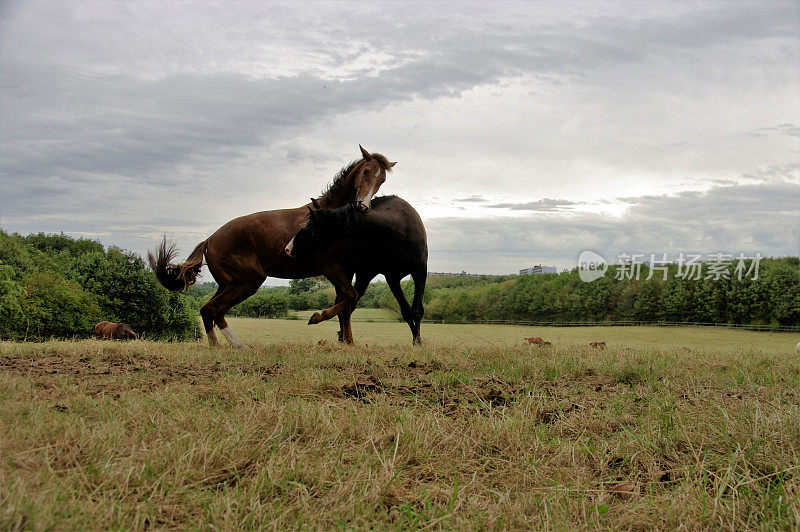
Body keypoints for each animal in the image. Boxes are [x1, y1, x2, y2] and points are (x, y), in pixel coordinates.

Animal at [149, 145, 394, 348]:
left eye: (382, 179)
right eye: (366, 171)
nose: (363, 205)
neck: (329, 219)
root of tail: (210, 239)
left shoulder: (345, 271)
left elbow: (347, 305)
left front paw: (348, 342)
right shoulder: (331, 269)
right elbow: (350, 298)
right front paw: (317, 317)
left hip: (227, 284)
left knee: (207, 309)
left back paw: (216, 344)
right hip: (247, 281)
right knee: (215, 309)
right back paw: (238, 345)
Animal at [286, 195, 428, 344]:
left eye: (308, 227)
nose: (288, 248)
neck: (399, 228)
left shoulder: (420, 271)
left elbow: (415, 310)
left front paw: (417, 341)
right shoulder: (392, 277)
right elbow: (406, 311)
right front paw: (416, 340)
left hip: (364, 274)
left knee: (349, 301)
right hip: (359, 273)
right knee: (347, 301)